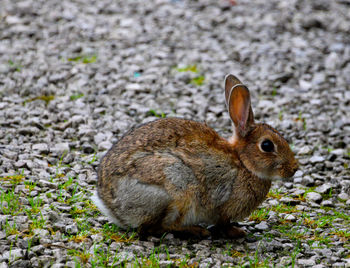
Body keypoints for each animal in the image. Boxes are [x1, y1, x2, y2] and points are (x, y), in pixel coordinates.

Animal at [91, 74, 298, 239]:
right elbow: (223, 223)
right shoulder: (223, 205)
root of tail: (112, 204)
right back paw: (197, 231)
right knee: (158, 228)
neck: (243, 163)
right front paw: (237, 233)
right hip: (177, 187)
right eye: (267, 145)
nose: (294, 168)